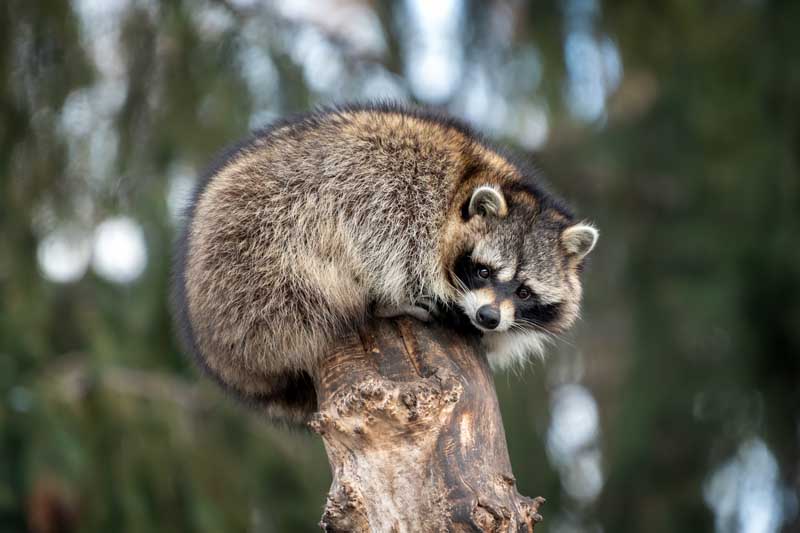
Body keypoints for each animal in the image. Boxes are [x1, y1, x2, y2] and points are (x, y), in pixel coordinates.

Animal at [172, 102, 596, 422]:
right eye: (483, 271)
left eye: (524, 291)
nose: (488, 317)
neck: (468, 181)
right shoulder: (401, 199)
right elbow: (388, 247)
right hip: (260, 258)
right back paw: (376, 306)